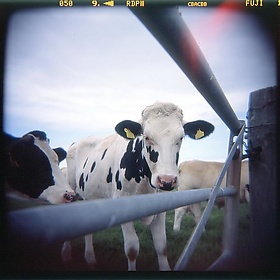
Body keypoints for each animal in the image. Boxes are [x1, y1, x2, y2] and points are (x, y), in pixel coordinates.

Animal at [61, 101, 214, 270]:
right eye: (146, 137)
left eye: (181, 137)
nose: (166, 180)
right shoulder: (122, 205)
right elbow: (132, 248)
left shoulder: (161, 207)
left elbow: (161, 245)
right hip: (72, 192)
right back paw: (66, 255)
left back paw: (90, 259)